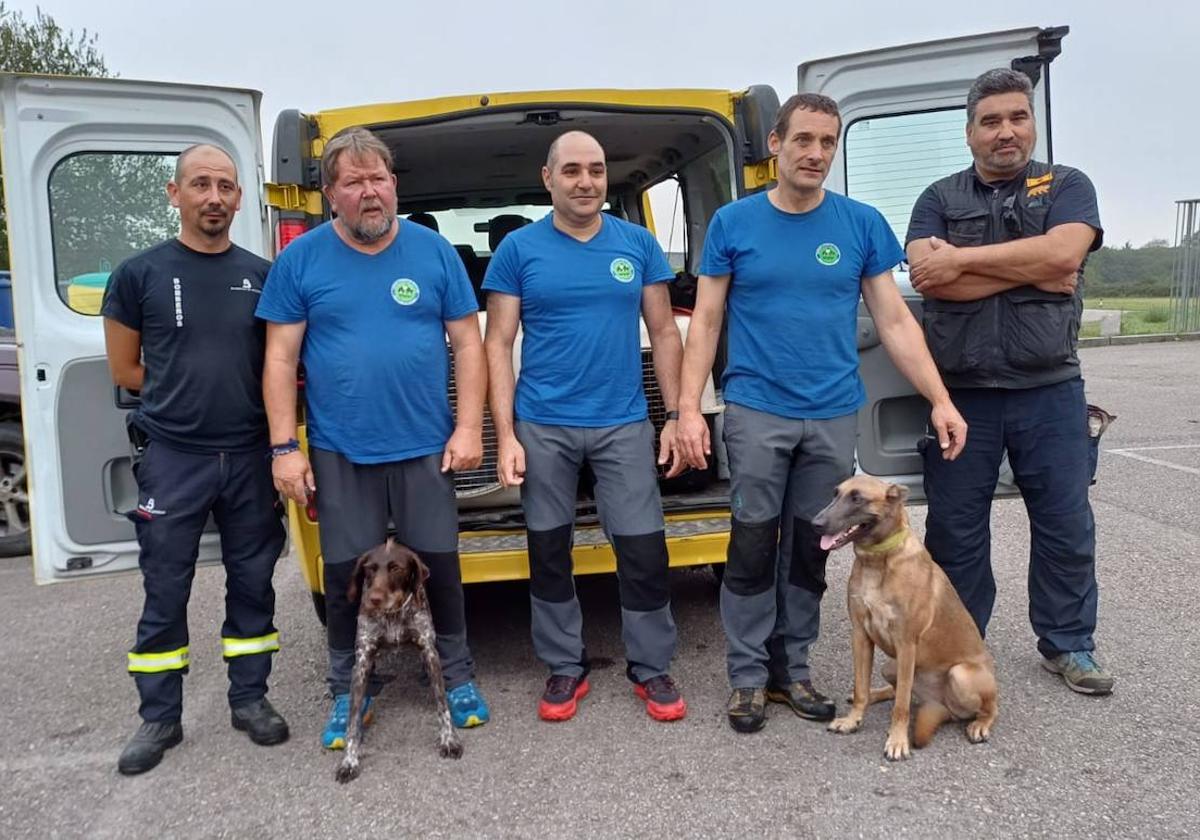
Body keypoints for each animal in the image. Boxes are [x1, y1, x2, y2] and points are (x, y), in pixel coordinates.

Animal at [333, 537, 463, 782]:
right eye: (370, 569)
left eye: (396, 569)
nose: (374, 599)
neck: (392, 614)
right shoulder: (362, 662)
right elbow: (352, 721)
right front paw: (349, 760)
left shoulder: (430, 652)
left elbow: (442, 705)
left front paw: (449, 739)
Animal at [811, 475, 998, 758]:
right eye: (835, 494)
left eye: (857, 498)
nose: (816, 524)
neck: (878, 560)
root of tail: (940, 705)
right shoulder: (861, 635)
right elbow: (861, 688)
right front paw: (853, 719)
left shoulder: (906, 643)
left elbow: (901, 706)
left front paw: (898, 741)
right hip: (891, 665)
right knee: (897, 689)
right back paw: (877, 693)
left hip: (960, 675)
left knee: (989, 707)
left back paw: (981, 724)